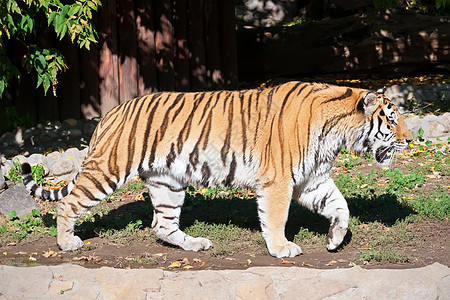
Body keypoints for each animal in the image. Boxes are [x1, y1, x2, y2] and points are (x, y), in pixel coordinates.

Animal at [22, 82, 414, 258]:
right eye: (393, 121)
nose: (411, 141)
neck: (336, 133)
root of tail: (110, 113)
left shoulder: (312, 180)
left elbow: (341, 207)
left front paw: (334, 239)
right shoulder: (279, 181)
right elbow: (276, 217)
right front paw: (281, 248)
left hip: (168, 183)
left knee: (163, 225)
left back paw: (195, 243)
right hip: (107, 170)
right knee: (68, 203)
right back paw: (66, 242)